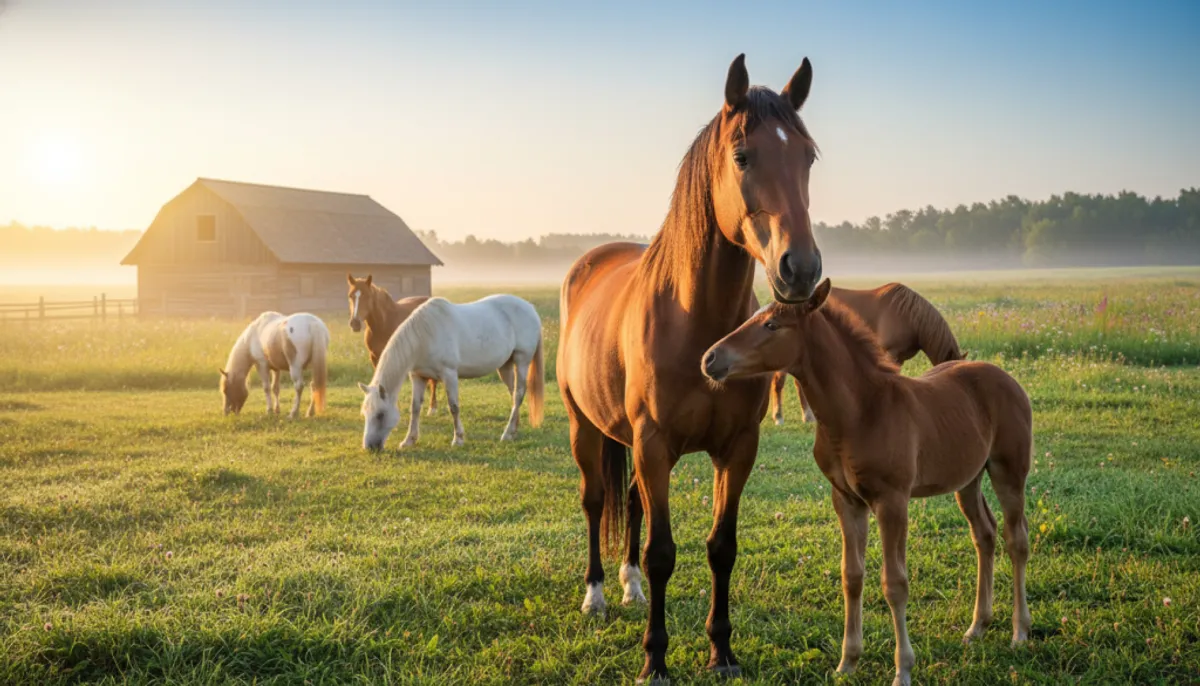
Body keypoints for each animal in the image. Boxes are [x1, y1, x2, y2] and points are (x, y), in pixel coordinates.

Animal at [346, 273, 440, 416]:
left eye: (367, 295)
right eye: (351, 295)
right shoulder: (375, 357)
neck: (383, 324)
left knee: (433, 381)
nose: (355, 323)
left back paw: (432, 408)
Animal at [358, 294, 544, 451]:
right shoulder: (418, 376)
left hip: (522, 360)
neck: (425, 335)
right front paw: (409, 440)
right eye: (365, 413)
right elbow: (415, 407)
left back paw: (506, 434)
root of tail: (530, 308)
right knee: (513, 394)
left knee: (518, 394)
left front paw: (458, 439)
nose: (369, 447)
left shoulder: (449, 374)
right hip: (505, 366)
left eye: (380, 415)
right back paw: (513, 431)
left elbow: (453, 406)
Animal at [557, 54, 822, 682]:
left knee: (630, 503)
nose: (800, 269)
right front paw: (655, 659)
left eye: (808, 157)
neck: (697, 321)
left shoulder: (737, 448)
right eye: (742, 155)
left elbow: (720, 547)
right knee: (596, 500)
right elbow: (662, 553)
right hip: (585, 428)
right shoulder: (655, 446)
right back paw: (597, 595)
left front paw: (721, 651)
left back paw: (628, 588)